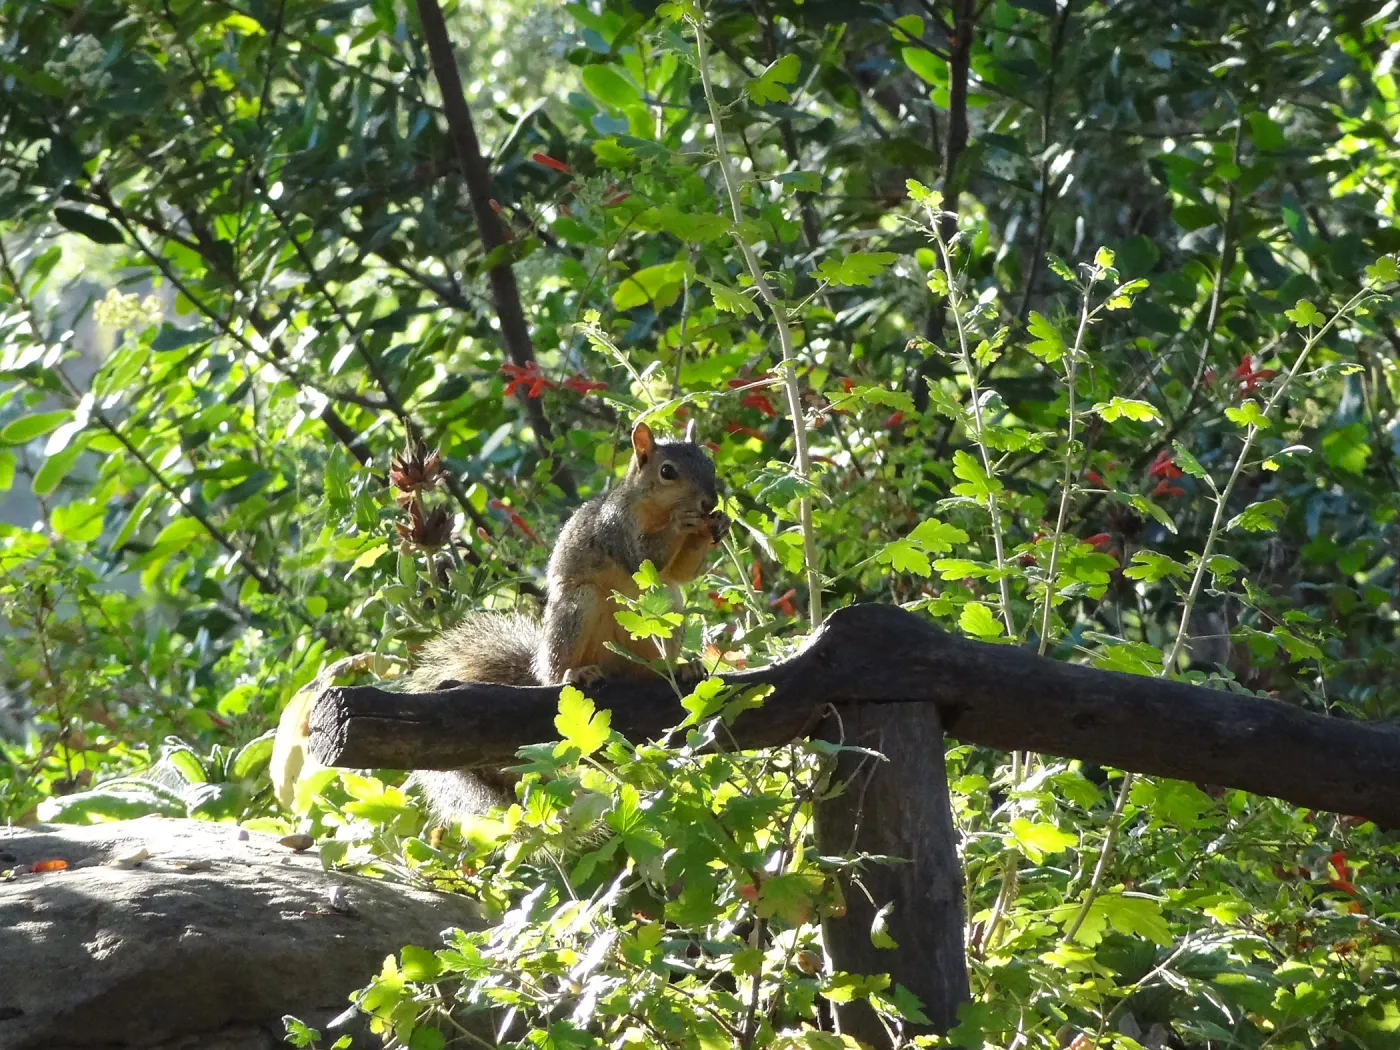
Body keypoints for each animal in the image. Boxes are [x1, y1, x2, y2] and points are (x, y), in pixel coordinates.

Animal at [364, 419, 728, 821]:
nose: (710, 502)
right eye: (668, 472)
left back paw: (678, 668)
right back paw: (574, 673)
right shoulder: (615, 527)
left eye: (709, 463)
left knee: (654, 660)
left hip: (669, 609)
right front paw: (687, 520)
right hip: (578, 607)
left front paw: (719, 525)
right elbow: (644, 557)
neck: (654, 507)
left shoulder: (672, 573)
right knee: (554, 674)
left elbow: (680, 573)